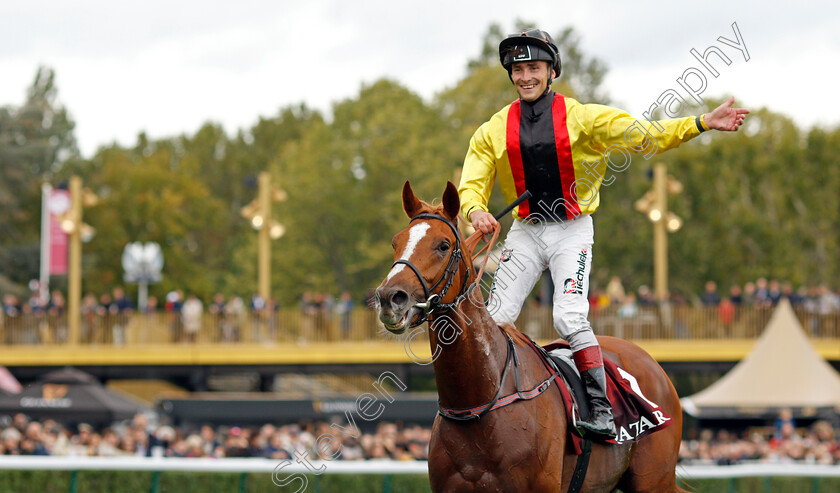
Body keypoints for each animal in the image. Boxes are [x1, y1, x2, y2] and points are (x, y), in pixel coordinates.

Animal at [378, 182, 684, 492]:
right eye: (395, 242)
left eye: (443, 245)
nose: (390, 297)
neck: (478, 401)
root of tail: (650, 362)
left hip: (654, 480)